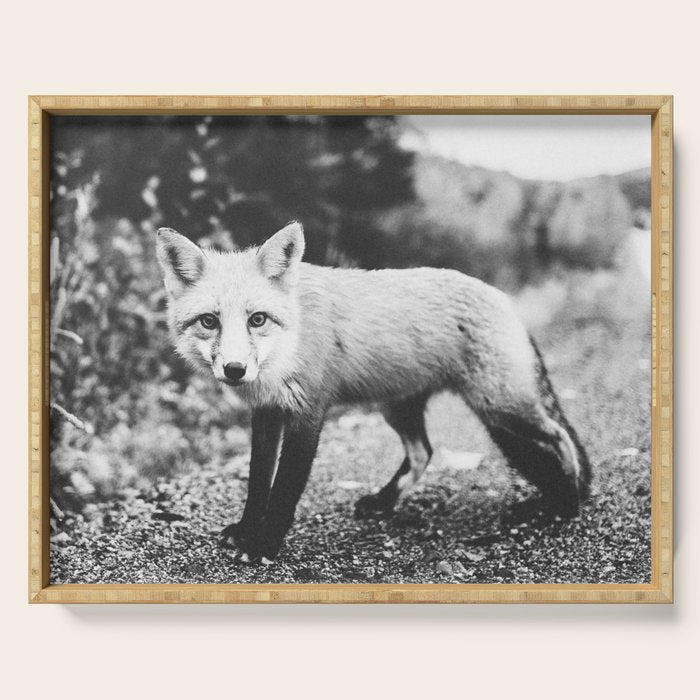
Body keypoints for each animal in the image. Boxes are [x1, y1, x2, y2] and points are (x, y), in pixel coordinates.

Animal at [156, 221, 591, 563]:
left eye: (258, 319)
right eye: (209, 321)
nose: (235, 369)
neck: (290, 343)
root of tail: (504, 298)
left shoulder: (309, 412)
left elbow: (284, 490)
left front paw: (263, 545)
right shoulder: (267, 413)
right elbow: (257, 482)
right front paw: (247, 530)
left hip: (501, 406)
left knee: (560, 436)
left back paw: (566, 503)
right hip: (400, 408)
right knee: (423, 452)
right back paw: (384, 503)